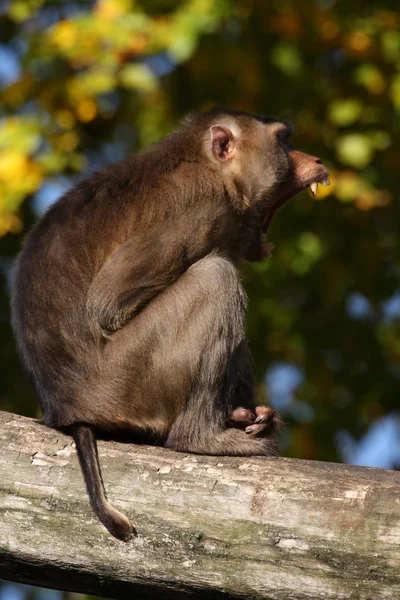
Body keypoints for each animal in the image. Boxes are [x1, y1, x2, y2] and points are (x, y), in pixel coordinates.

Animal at [11, 109, 328, 544]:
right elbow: (107, 304)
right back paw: (201, 438)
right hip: (128, 382)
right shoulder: (202, 209)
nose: (316, 159)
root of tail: (64, 409)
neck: (208, 166)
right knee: (215, 279)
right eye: (283, 141)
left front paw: (252, 413)